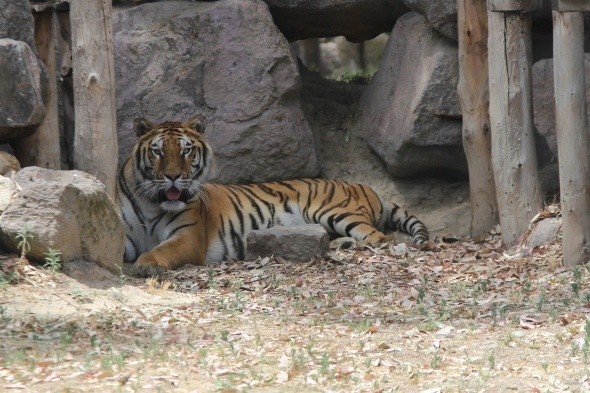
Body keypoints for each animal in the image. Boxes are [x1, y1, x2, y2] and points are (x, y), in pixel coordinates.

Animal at [118, 114, 430, 276]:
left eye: (186, 150)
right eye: (157, 151)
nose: (173, 176)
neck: (152, 204)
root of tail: (367, 187)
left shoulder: (188, 237)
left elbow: (163, 249)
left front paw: (146, 264)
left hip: (334, 211)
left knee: (382, 239)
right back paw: (342, 246)